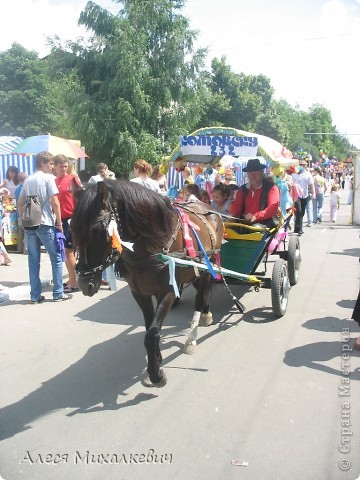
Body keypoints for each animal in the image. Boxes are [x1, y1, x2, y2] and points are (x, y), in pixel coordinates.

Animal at [71, 179, 224, 386]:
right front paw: (157, 359)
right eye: (72, 229)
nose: (83, 282)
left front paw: (156, 374)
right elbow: (149, 328)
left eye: (97, 230)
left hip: (208, 264)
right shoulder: (139, 292)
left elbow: (151, 335)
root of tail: (205, 206)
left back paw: (193, 335)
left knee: (201, 297)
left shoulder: (167, 291)